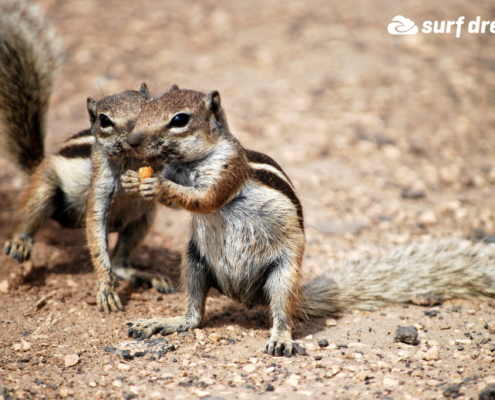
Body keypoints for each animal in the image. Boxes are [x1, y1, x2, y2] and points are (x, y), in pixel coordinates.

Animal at [0, 0, 174, 312]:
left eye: (151, 106)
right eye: (104, 120)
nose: (135, 131)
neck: (131, 161)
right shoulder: (99, 191)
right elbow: (96, 240)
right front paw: (105, 290)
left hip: (143, 218)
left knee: (121, 260)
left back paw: (142, 273)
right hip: (44, 187)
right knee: (30, 219)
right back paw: (21, 242)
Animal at [120, 86, 495, 356]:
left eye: (179, 119)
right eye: (146, 108)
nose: (133, 141)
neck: (190, 164)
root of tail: (247, 298)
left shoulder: (228, 171)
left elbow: (205, 199)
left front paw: (157, 185)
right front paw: (131, 180)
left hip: (282, 276)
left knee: (282, 315)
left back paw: (281, 339)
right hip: (194, 262)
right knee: (194, 316)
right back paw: (164, 322)